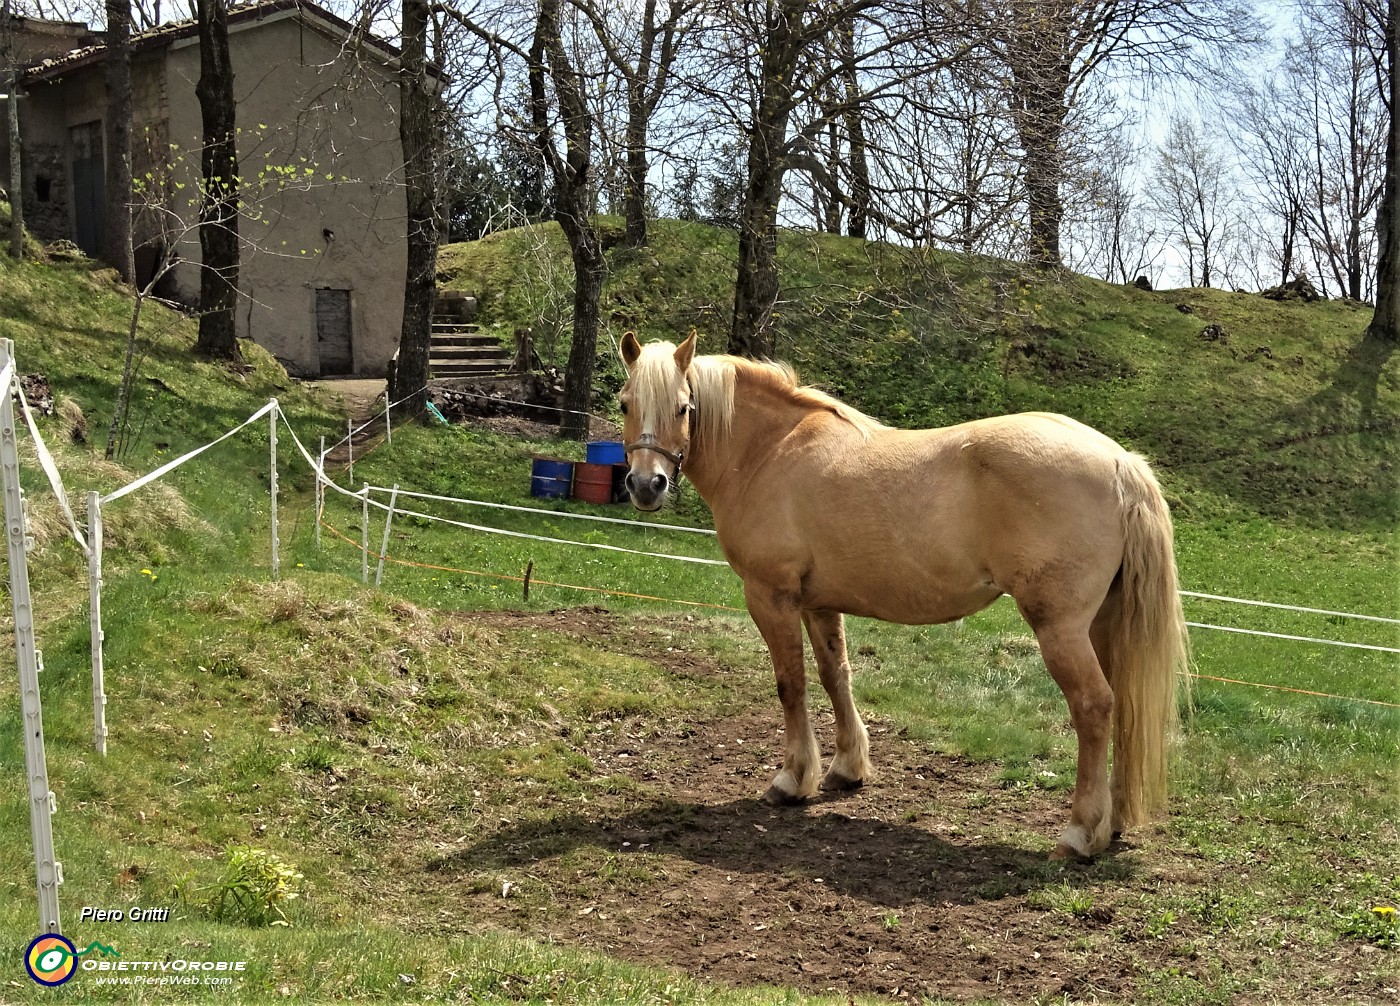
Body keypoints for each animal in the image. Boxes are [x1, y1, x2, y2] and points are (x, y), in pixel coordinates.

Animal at [618, 330, 1187, 856]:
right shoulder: (818, 604)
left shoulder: (770, 596)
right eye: (626, 403)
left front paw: (792, 779)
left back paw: (1080, 832)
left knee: (1093, 706)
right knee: (1122, 705)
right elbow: (835, 676)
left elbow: (791, 684)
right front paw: (847, 769)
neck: (770, 450)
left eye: (683, 407)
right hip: (1104, 624)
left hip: (1061, 627)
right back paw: (1113, 821)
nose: (646, 486)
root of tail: (1119, 462)